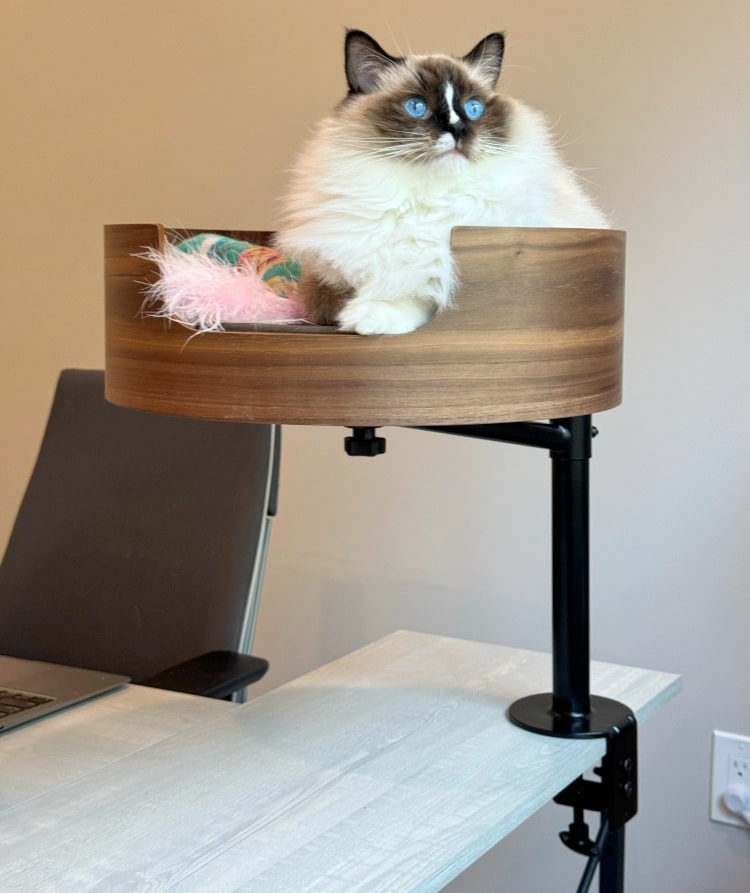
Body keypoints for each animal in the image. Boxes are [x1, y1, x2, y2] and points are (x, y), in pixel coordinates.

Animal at [276, 29, 612, 334]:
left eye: (474, 108)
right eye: (416, 106)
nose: (458, 129)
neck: (433, 200)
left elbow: (420, 291)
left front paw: (369, 317)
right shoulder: (323, 277)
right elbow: (339, 295)